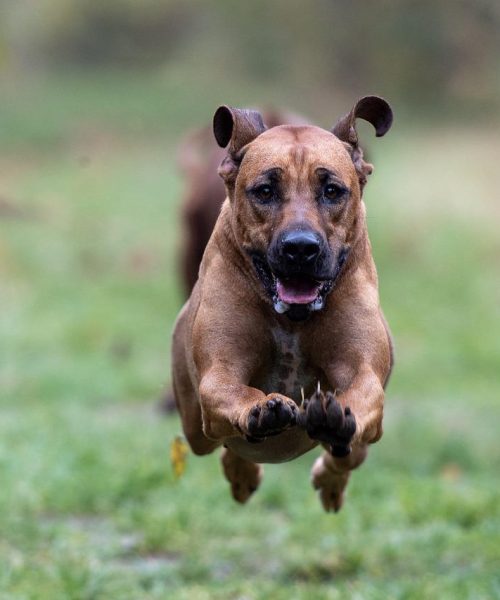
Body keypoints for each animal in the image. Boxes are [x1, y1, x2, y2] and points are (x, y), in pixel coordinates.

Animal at [172, 98, 394, 510]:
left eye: (332, 190)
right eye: (264, 191)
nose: (300, 248)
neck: (293, 319)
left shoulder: (365, 370)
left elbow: (362, 391)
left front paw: (333, 418)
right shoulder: (218, 372)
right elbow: (230, 389)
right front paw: (261, 409)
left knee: (351, 452)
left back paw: (330, 479)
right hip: (194, 425)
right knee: (219, 442)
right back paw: (242, 472)